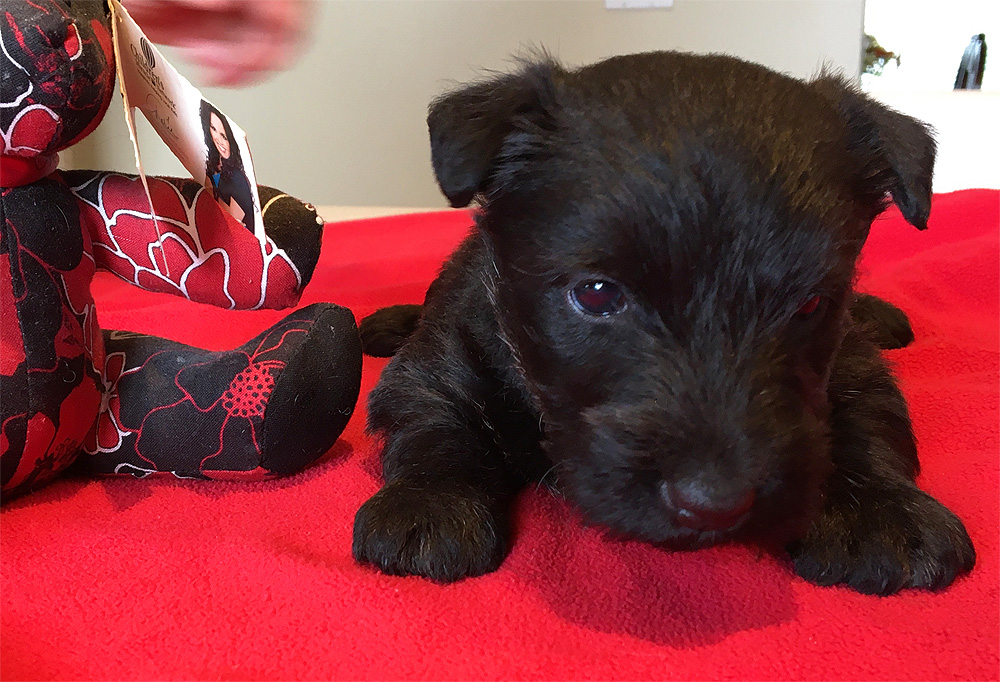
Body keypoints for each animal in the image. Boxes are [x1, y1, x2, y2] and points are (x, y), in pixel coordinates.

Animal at [352, 51, 975, 595]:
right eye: (596, 293)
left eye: (809, 305)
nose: (715, 502)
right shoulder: (439, 362)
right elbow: (433, 419)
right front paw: (432, 503)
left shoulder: (851, 363)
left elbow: (868, 417)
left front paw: (879, 509)